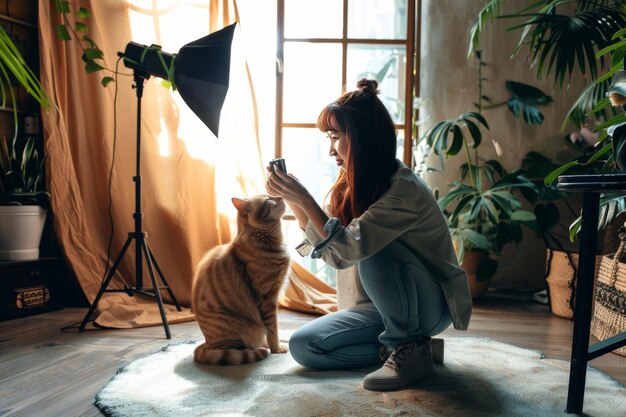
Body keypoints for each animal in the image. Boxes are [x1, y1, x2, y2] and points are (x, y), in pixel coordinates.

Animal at [190, 193, 290, 362]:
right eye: (268, 200)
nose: (281, 196)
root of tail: (206, 344)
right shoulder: (267, 297)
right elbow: (272, 328)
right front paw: (276, 348)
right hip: (238, 327)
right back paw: (259, 348)